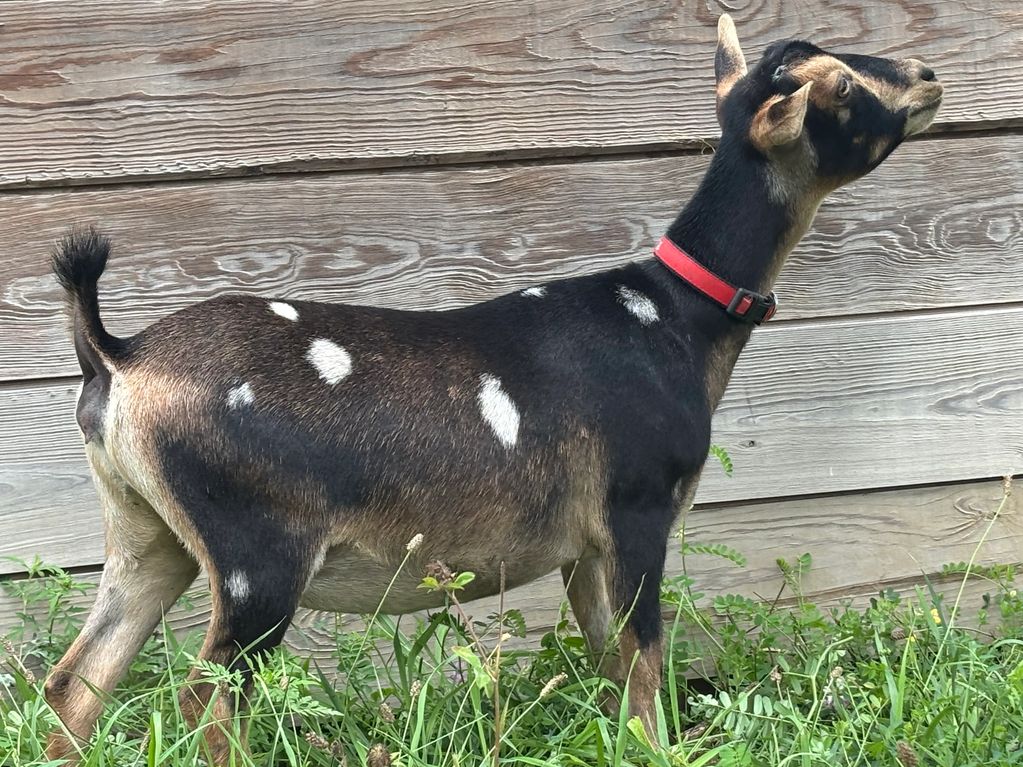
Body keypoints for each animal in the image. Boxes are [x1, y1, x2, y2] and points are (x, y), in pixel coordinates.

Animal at [45, 14, 943, 763]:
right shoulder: (636, 510)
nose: (928, 75)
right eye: (838, 86)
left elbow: (612, 665)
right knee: (204, 700)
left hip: (145, 535)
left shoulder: (584, 546)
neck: (667, 316)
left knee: (74, 683)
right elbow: (646, 662)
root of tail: (117, 357)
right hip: (254, 553)